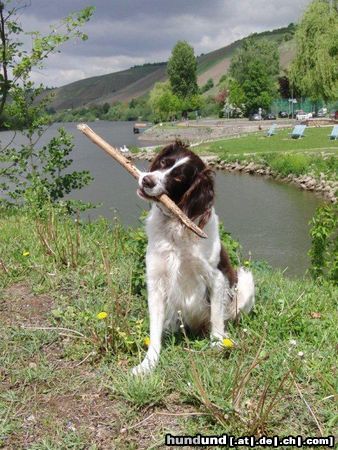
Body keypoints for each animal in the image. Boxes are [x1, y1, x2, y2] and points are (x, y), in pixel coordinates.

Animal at [132, 142, 254, 376]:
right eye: (164, 162)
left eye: (179, 178)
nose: (147, 180)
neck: (176, 227)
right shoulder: (156, 280)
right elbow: (154, 329)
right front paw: (148, 363)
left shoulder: (217, 277)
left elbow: (217, 317)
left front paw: (218, 344)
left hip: (245, 280)